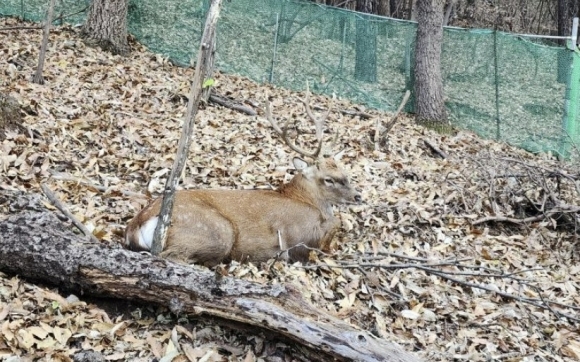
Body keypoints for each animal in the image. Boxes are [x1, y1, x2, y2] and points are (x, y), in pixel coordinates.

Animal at [124, 90, 360, 266]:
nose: (358, 196)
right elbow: (332, 229)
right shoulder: (300, 237)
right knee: (170, 256)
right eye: (329, 179)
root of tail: (136, 224)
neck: (306, 200)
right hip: (217, 231)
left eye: (346, 174)